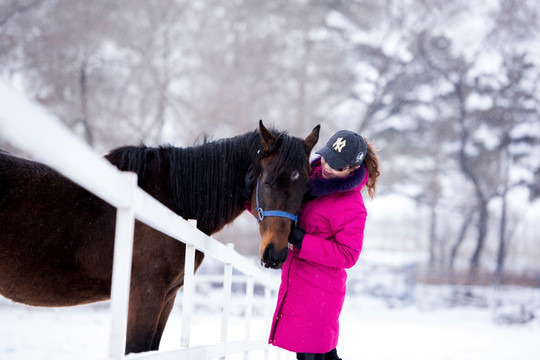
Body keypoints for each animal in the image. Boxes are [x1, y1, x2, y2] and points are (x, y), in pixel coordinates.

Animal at [0, 121, 318, 354]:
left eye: (307, 188)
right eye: (267, 181)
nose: (275, 255)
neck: (172, 200)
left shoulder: (167, 297)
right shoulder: (146, 294)